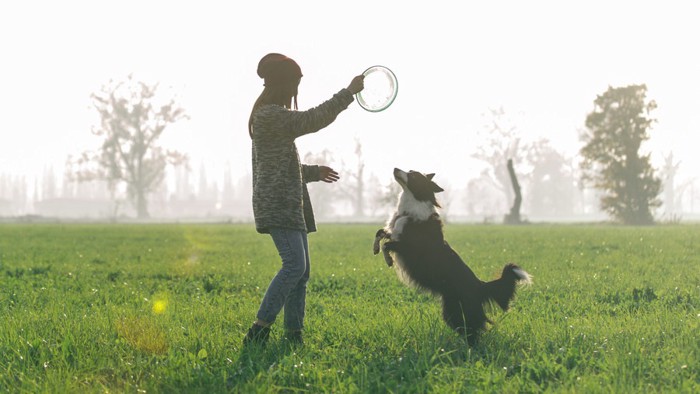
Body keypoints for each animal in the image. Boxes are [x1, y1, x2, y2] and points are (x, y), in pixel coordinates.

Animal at [372, 169, 532, 344]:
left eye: (412, 175)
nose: (395, 168)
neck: (412, 206)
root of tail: (479, 286)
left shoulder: (409, 247)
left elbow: (387, 245)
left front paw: (388, 259)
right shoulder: (394, 232)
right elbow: (380, 233)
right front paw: (375, 248)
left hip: (453, 311)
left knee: (473, 333)